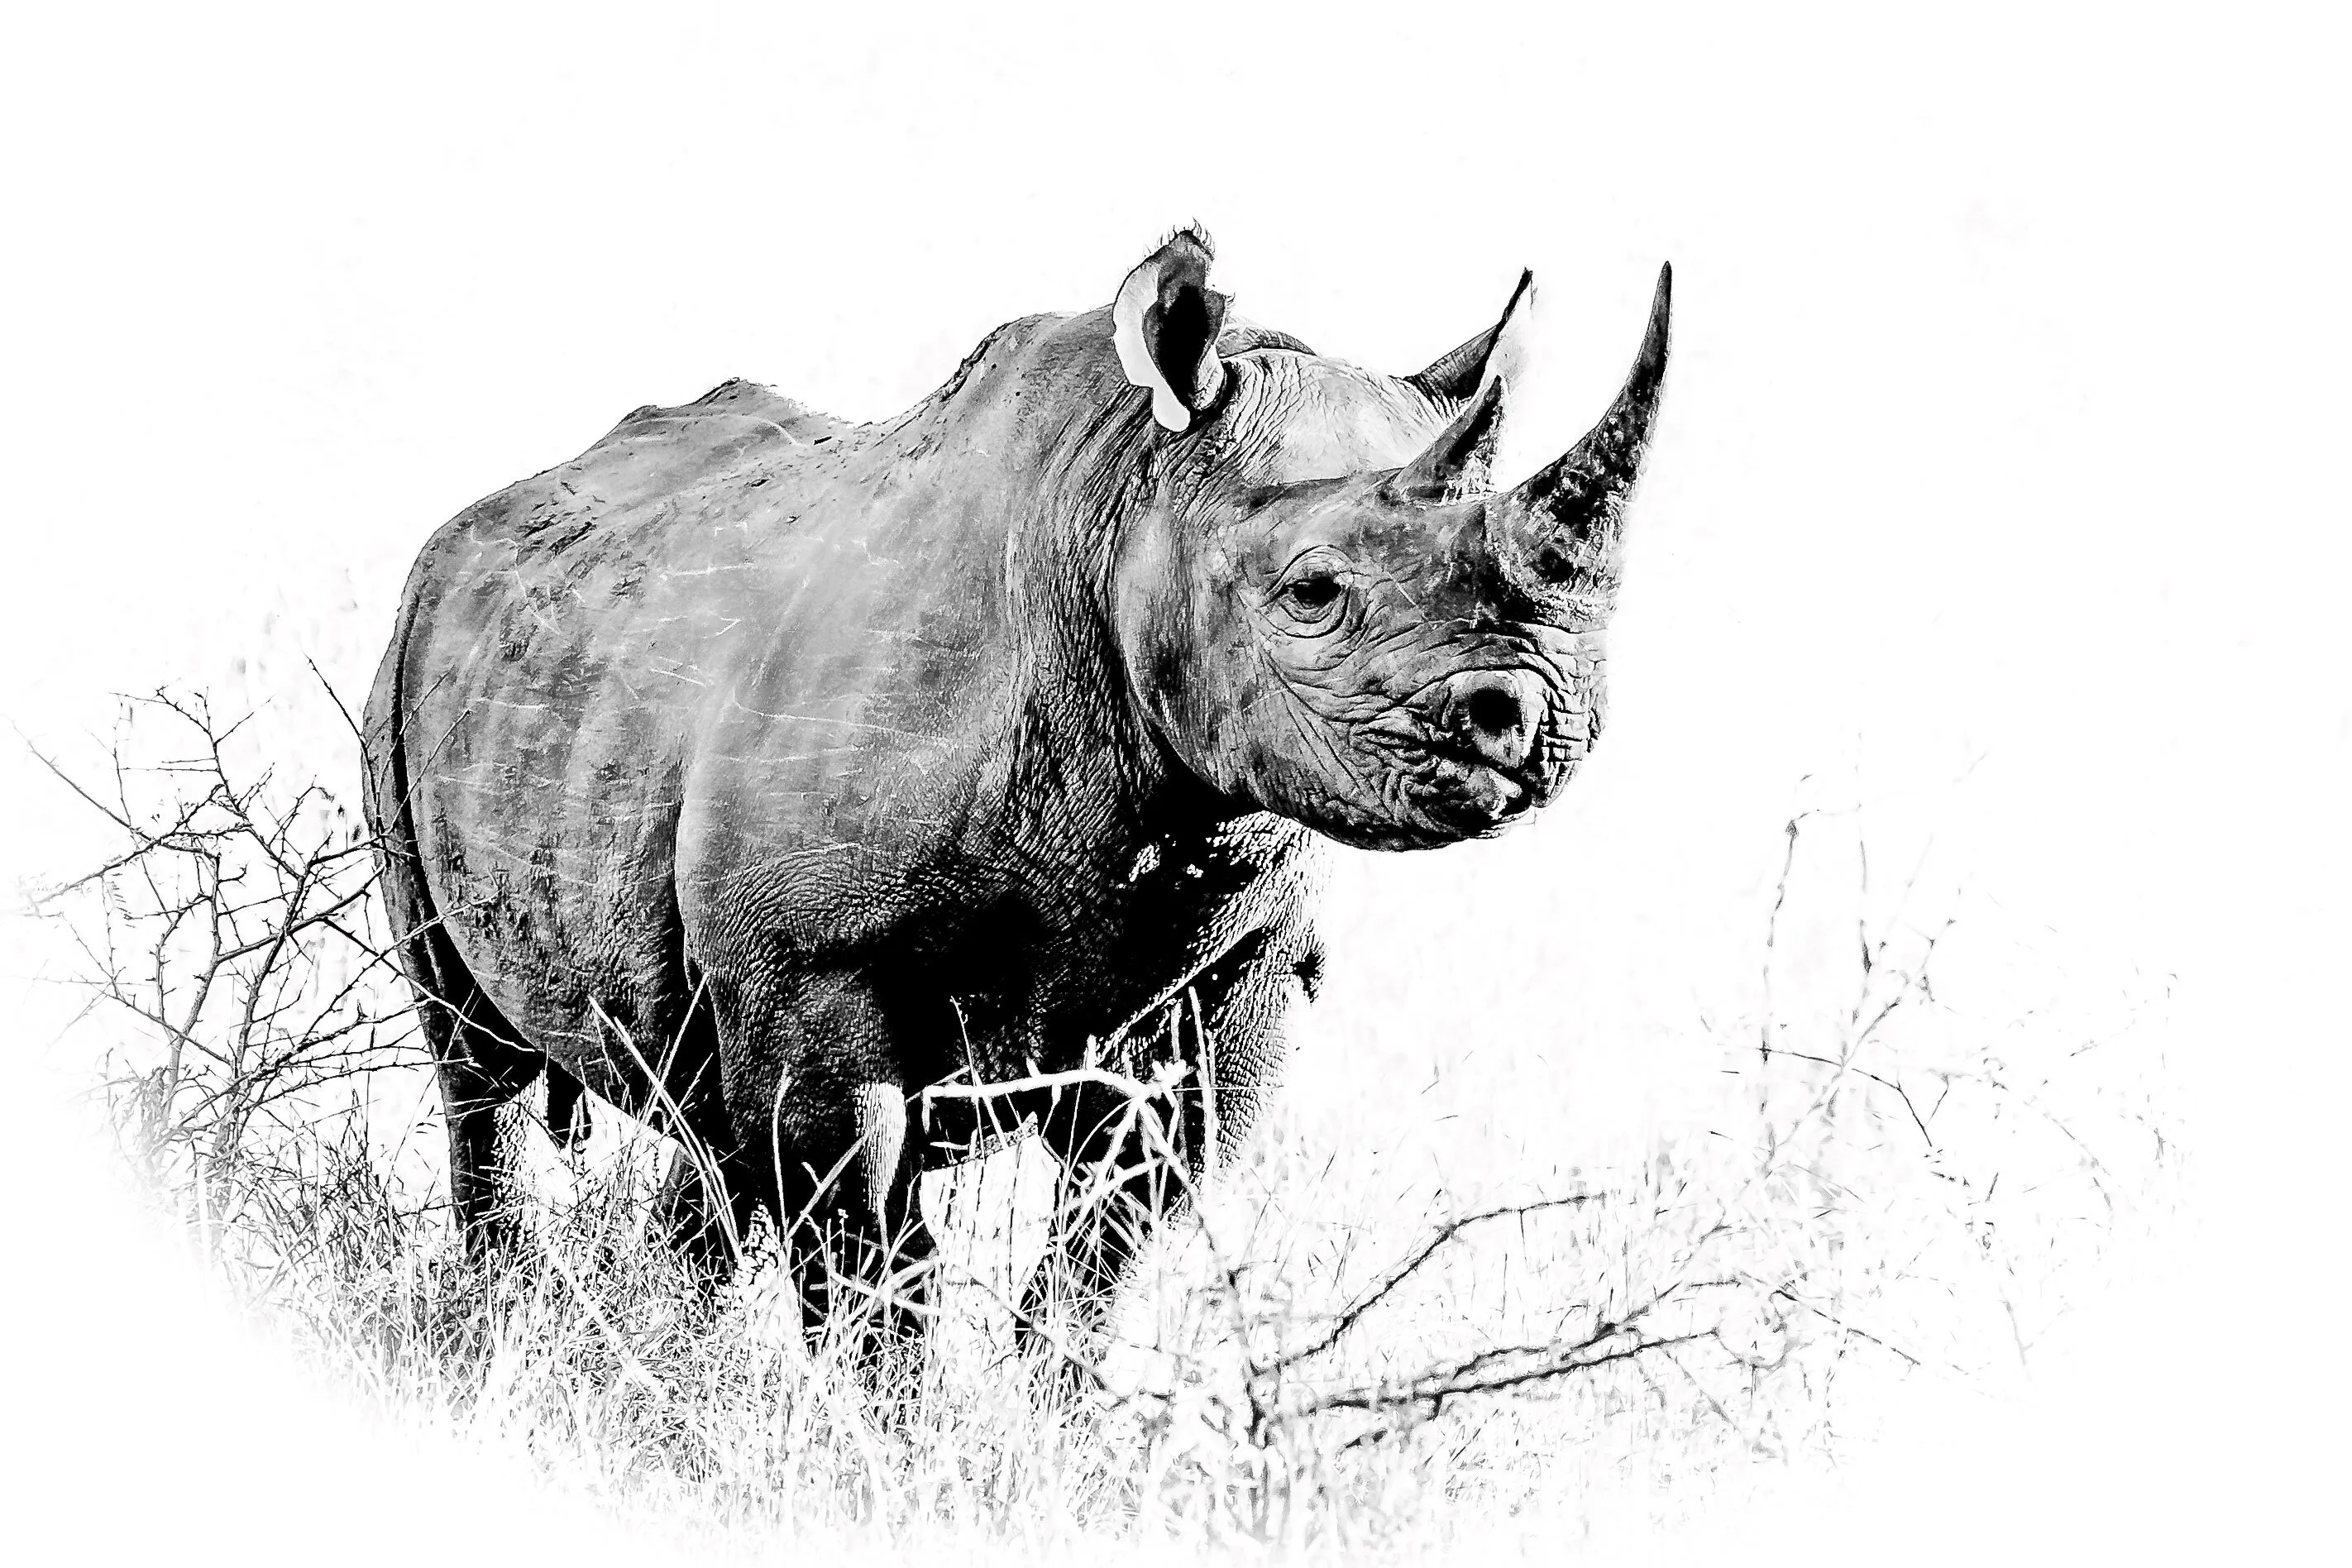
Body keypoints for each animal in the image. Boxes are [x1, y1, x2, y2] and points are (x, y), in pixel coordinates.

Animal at [361, 227, 1671, 1356]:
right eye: (1312, 593)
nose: (1537, 721)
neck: (1123, 504)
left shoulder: (1230, 965)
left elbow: (1106, 1256)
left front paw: (1054, 1436)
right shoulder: (813, 953)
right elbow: (868, 1254)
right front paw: (881, 1447)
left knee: (712, 1127)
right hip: (405, 662)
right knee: (476, 1066)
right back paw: (496, 1311)